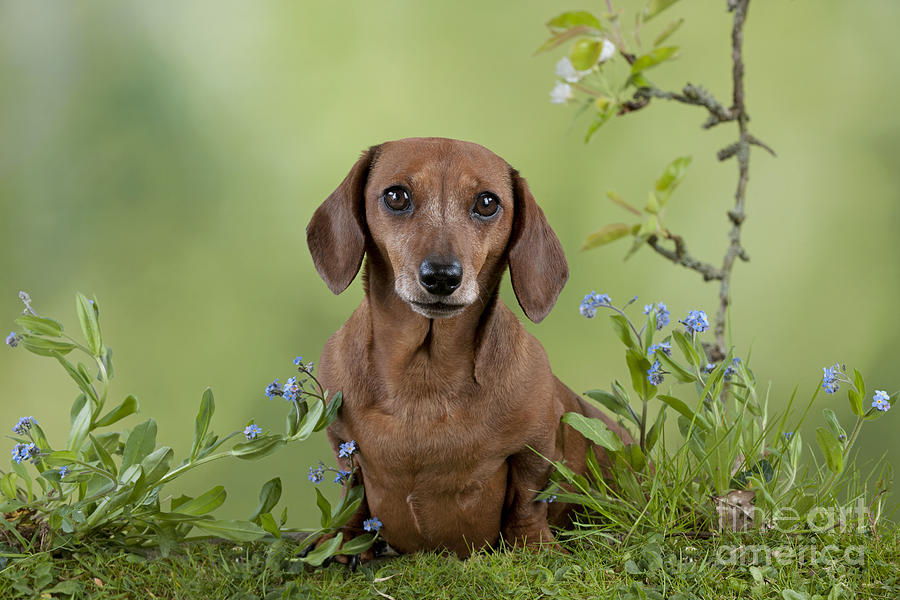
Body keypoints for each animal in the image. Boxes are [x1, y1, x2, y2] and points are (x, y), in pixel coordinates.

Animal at [306, 136, 628, 556]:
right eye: (396, 196)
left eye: (487, 202)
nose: (442, 277)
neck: (423, 376)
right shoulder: (343, 444)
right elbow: (353, 494)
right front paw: (343, 542)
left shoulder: (538, 443)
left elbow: (527, 499)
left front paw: (532, 544)